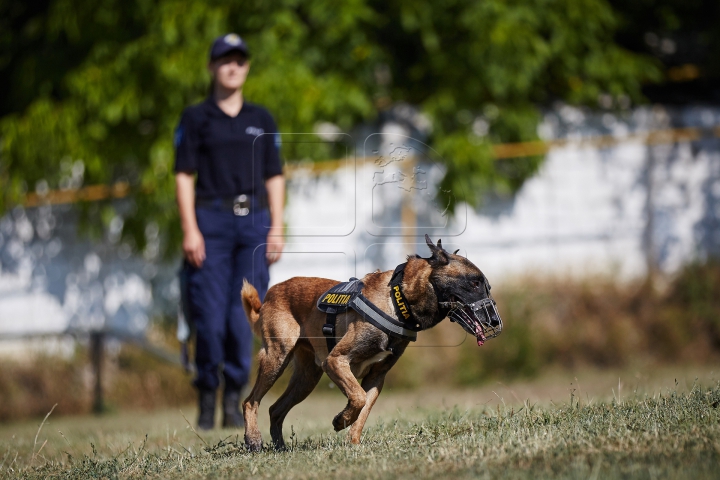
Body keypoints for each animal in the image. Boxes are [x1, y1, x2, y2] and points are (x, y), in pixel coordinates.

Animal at [242, 234, 500, 452]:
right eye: (474, 283)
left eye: (487, 286)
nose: (495, 321)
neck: (398, 299)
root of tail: (271, 293)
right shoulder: (335, 361)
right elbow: (358, 397)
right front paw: (341, 420)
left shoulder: (376, 377)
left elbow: (364, 407)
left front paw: (353, 442)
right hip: (277, 358)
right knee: (250, 401)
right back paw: (253, 440)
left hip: (307, 378)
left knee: (275, 409)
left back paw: (280, 448)